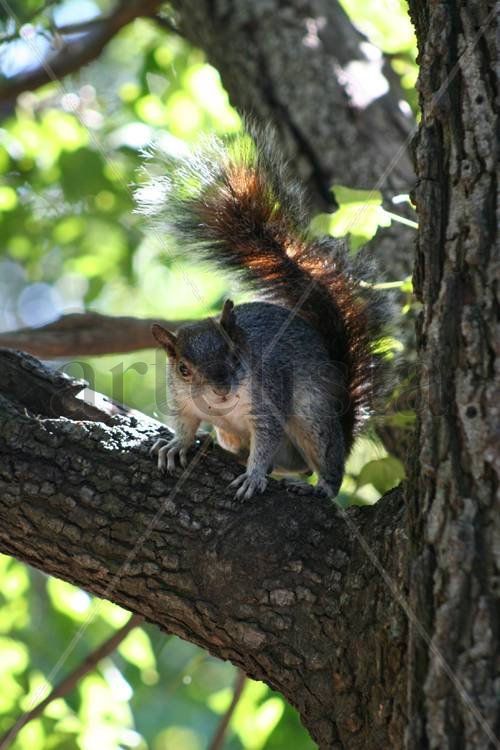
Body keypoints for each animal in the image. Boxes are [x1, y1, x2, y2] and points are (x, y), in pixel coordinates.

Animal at [136, 125, 389, 500]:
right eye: (183, 368)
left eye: (234, 353)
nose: (221, 390)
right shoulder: (181, 401)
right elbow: (184, 424)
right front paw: (177, 444)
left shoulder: (268, 399)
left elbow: (266, 440)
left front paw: (254, 475)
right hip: (238, 434)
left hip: (313, 416)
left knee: (325, 460)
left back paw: (321, 485)